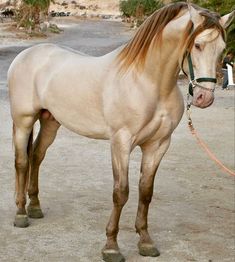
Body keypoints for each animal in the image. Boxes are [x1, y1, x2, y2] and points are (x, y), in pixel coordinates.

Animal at [6, 2, 233, 262]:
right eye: (197, 45)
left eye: (222, 49)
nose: (204, 97)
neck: (148, 82)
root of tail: (26, 55)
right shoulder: (121, 143)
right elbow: (121, 192)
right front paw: (111, 247)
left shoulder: (158, 144)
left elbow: (146, 191)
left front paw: (145, 241)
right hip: (23, 121)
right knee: (22, 162)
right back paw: (21, 214)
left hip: (50, 122)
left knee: (36, 157)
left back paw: (35, 207)